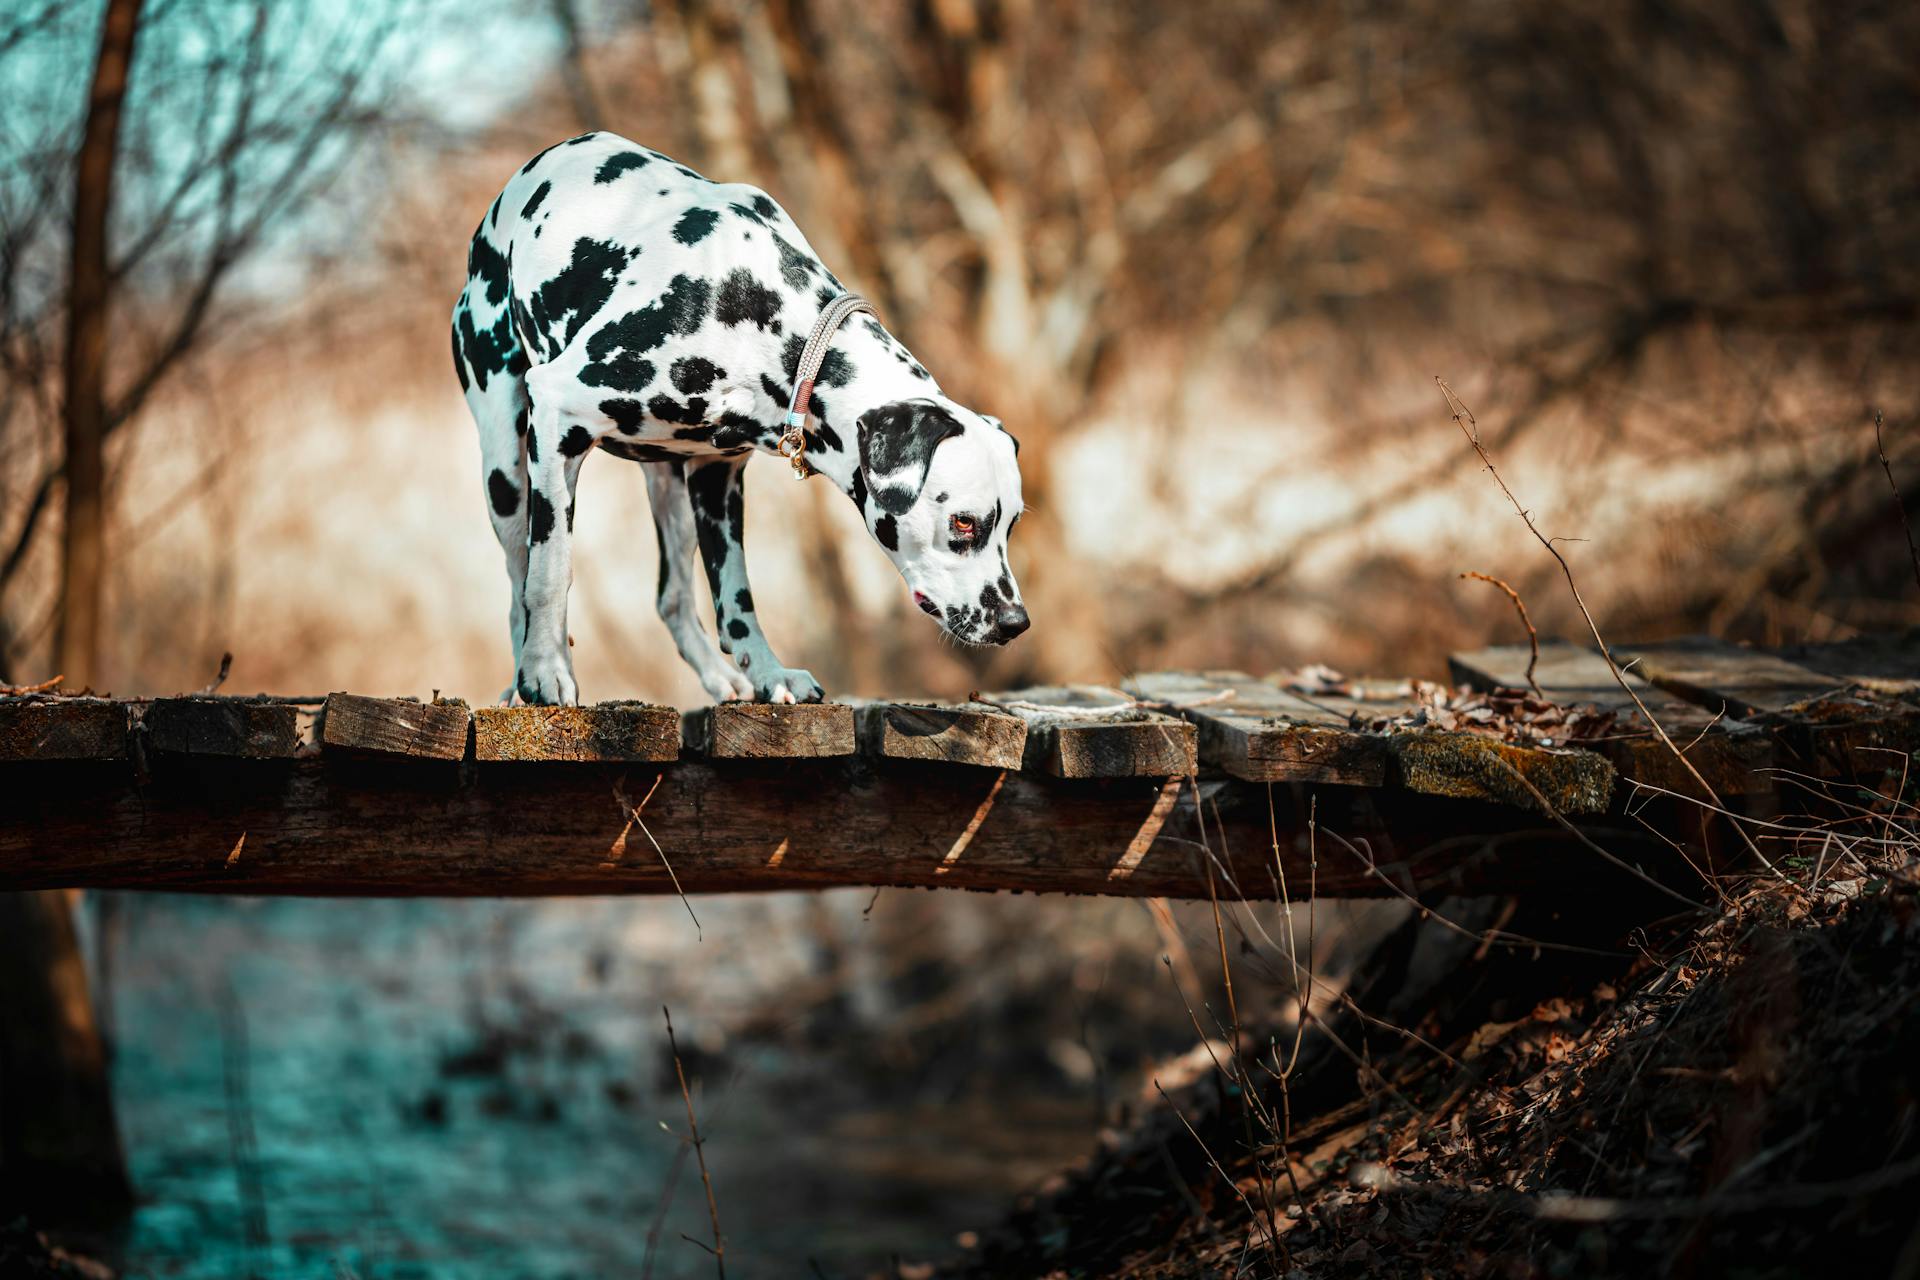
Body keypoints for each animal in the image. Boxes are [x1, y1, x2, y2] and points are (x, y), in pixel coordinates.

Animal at [449, 132, 1029, 710]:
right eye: (963, 522)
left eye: (1011, 524)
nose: (1015, 622)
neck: (761, 309)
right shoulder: (558, 415)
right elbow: (549, 571)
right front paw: (546, 670)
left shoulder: (718, 477)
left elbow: (736, 596)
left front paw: (769, 674)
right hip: (507, 474)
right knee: (518, 577)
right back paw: (524, 675)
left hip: (674, 493)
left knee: (673, 597)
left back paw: (718, 676)